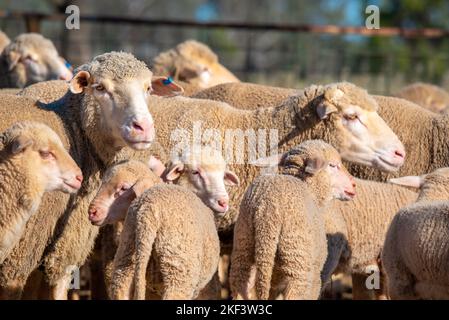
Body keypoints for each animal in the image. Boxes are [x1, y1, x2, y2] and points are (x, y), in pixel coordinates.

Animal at [89, 148, 240, 300]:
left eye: (123, 188)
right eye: (195, 172)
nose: (91, 212)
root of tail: (147, 213)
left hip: (125, 260)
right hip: (178, 268)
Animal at [229, 140, 356, 300]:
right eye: (332, 165)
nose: (354, 184)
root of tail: (267, 212)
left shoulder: (275, 280)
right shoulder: (315, 274)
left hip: (243, 245)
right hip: (297, 261)